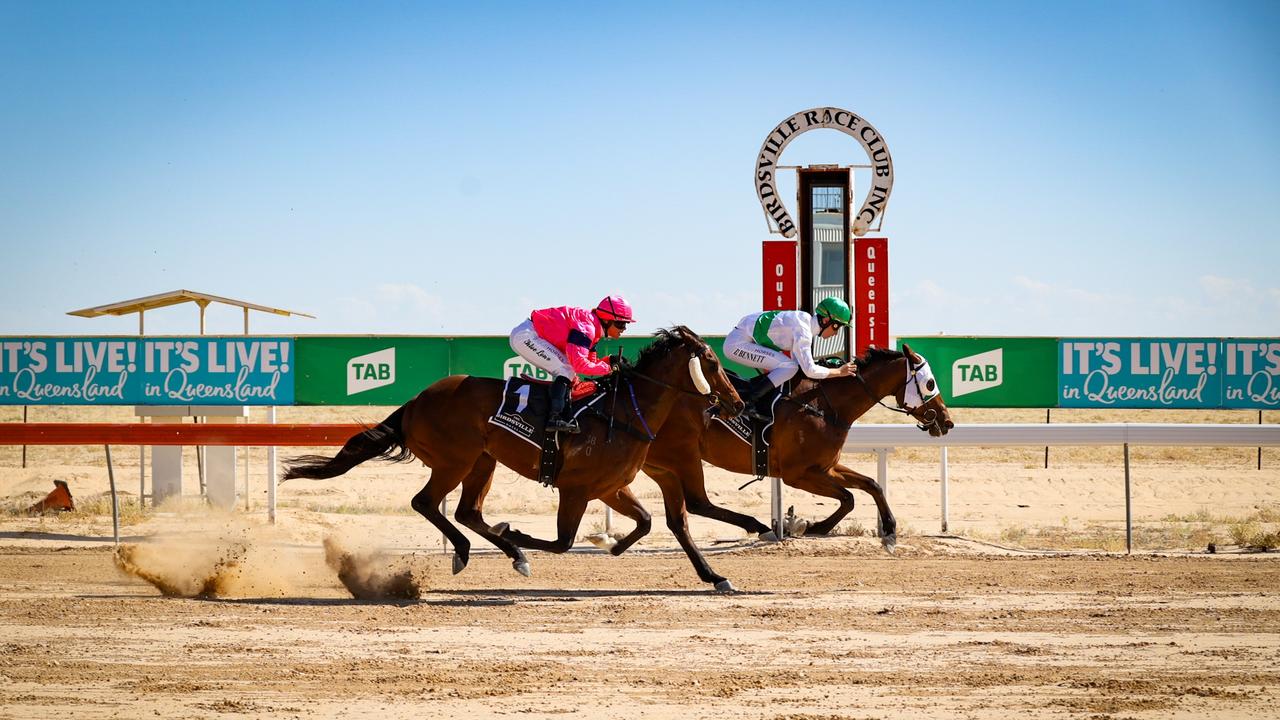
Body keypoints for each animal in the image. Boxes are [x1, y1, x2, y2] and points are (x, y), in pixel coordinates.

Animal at [277, 325, 742, 589]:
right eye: (712, 361)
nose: (736, 403)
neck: (625, 412)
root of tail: (415, 401)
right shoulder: (575, 489)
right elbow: (561, 542)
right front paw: (518, 533)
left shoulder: (610, 488)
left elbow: (646, 522)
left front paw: (613, 546)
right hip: (455, 459)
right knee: (425, 502)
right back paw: (481, 550)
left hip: (483, 461)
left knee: (466, 511)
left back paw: (499, 552)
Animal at [640, 340, 952, 548]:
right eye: (930, 383)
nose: (947, 421)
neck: (826, 405)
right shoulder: (797, 474)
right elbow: (849, 497)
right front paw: (810, 525)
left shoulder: (825, 467)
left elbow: (870, 485)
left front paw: (889, 531)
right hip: (683, 455)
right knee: (697, 503)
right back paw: (760, 527)